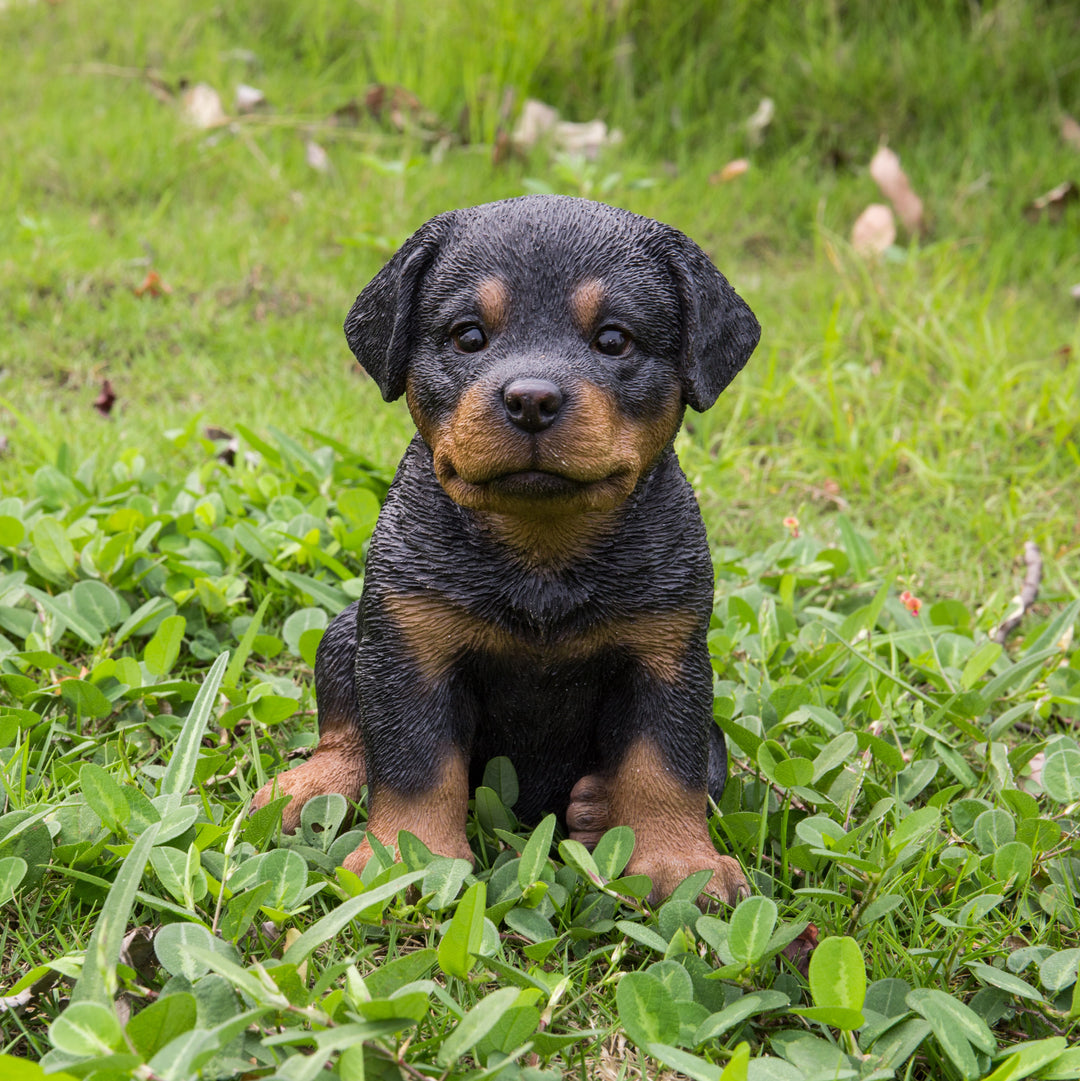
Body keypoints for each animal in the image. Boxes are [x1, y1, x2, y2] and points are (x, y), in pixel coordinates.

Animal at [251, 194, 761, 903]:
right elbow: (413, 762)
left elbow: (666, 765)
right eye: (468, 336)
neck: (541, 552)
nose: (532, 399)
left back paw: (598, 809)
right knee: (346, 720)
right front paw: (407, 860)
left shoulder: (664, 655)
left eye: (613, 339)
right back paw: (314, 784)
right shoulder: (410, 649)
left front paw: (682, 864)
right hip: (349, 628)